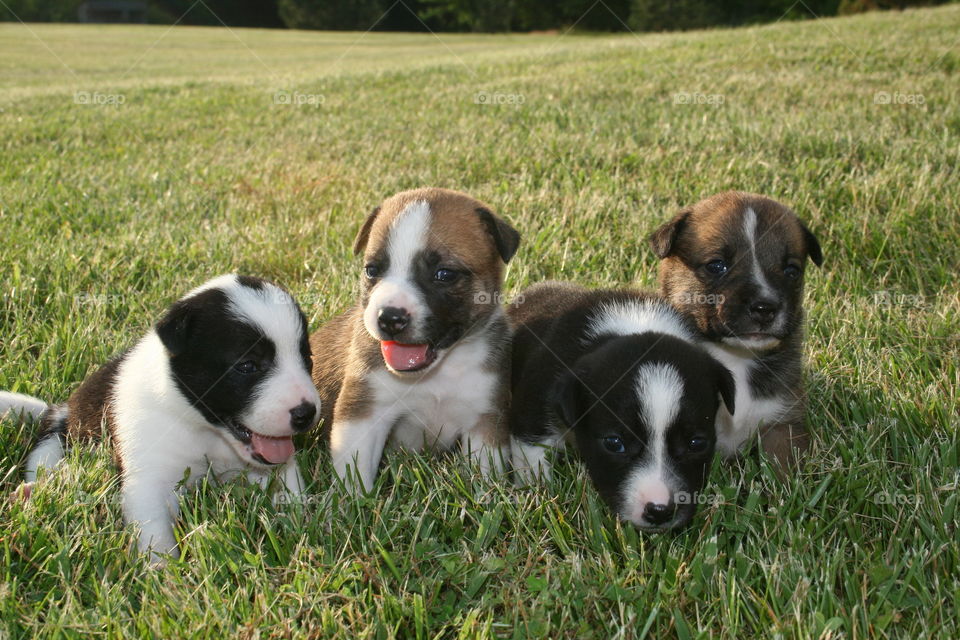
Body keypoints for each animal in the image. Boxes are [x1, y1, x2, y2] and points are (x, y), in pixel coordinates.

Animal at [0, 274, 322, 560]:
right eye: (247, 365)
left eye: (307, 359)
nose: (307, 413)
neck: (205, 430)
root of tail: (61, 409)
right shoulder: (148, 479)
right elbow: (155, 533)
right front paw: (164, 574)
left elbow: (290, 489)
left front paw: (301, 525)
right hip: (54, 444)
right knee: (46, 467)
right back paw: (31, 492)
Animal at [312, 188, 520, 492]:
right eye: (372, 270)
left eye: (444, 274)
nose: (389, 318)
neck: (440, 370)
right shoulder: (364, 412)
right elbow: (355, 471)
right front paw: (351, 500)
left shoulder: (484, 420)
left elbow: (485, 475)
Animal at [510, 284, 736, 528]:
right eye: (614, 443)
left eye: (696, 443)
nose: (659, 511)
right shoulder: (535, 400)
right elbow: (531, 450)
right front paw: (536, 489)